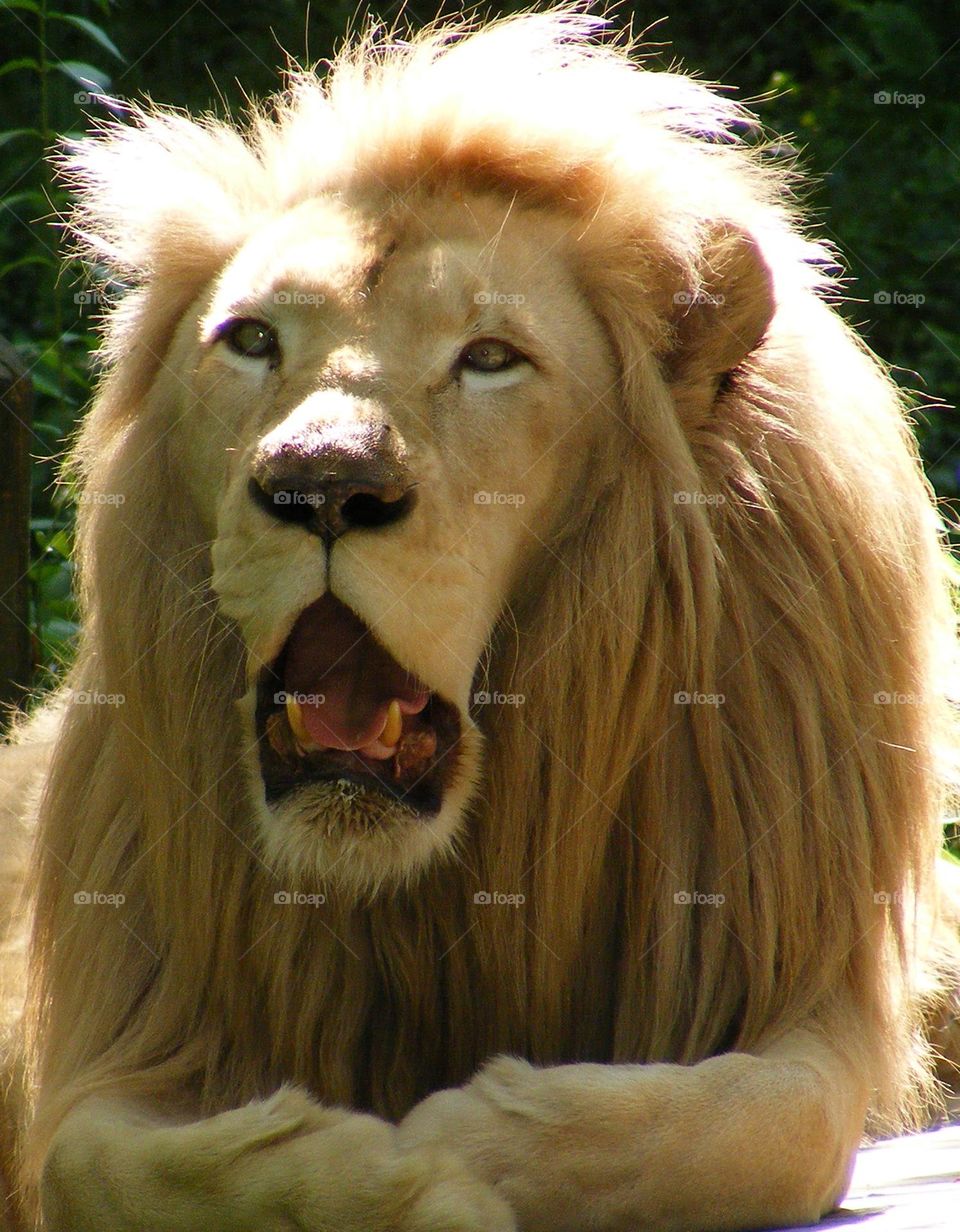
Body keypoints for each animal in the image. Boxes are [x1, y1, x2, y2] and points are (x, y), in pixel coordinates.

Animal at [0, 9, 956, 1232]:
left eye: (491, 359)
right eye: (252, 341)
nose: (320, 483)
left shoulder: (797, 969)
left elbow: (745, 1125)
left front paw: (466, 1144)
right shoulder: (125, 1018)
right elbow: (114, 1164)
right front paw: (383, 1175)